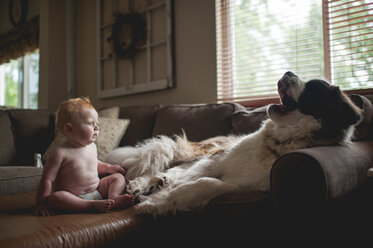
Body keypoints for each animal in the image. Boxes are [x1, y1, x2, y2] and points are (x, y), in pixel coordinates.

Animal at [102, 70, 360, 216]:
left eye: (314, 87)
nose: (288, 71)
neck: (277, 142)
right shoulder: (216, 161)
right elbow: (192, 177)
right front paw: (159, 195)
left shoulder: (245, 189)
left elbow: (207, 184)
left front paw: (159, 201)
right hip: (204, 153)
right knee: (173, 167)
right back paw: (145, 183)